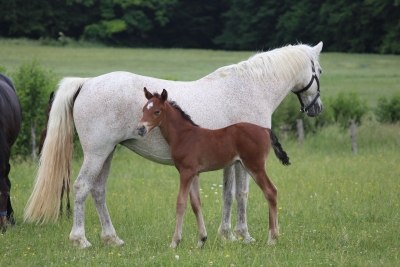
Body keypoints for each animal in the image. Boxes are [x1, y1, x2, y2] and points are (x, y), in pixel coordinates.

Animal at [138, 88, 290, 249]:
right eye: (143, 110)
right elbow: (196, 204)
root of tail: (265, 129)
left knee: (271, 191)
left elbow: (181, 203)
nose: (140, 128)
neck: (183, 135)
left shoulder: (186, 172)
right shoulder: (194, 173)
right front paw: (201, 240)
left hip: (255, 166)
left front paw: (175, 242)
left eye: (157, 111)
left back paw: (272, 238)